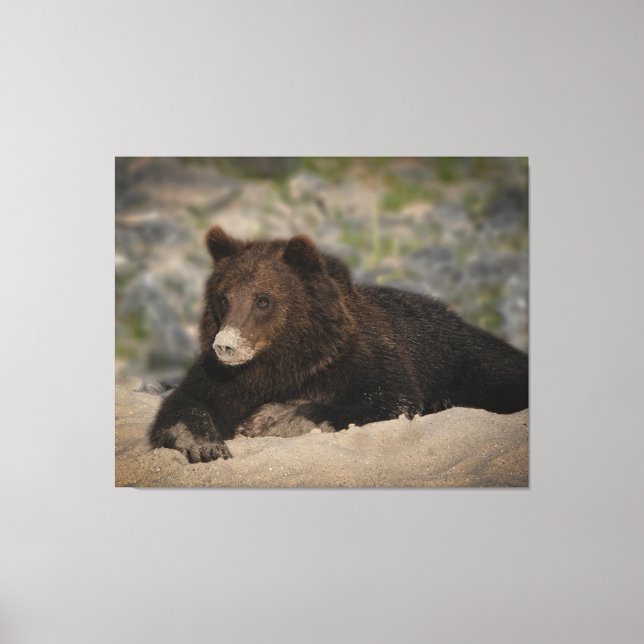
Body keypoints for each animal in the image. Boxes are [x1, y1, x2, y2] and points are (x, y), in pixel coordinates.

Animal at [149, 226, 528, 463]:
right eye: (224, 297)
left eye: (263, 300)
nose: (226, 346)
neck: (283, 358)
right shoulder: (223, 379)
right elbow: (184, 404)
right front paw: (205, 445)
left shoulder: (359, 358)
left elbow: (387, 398)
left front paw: (268, 419)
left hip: (467, 360)